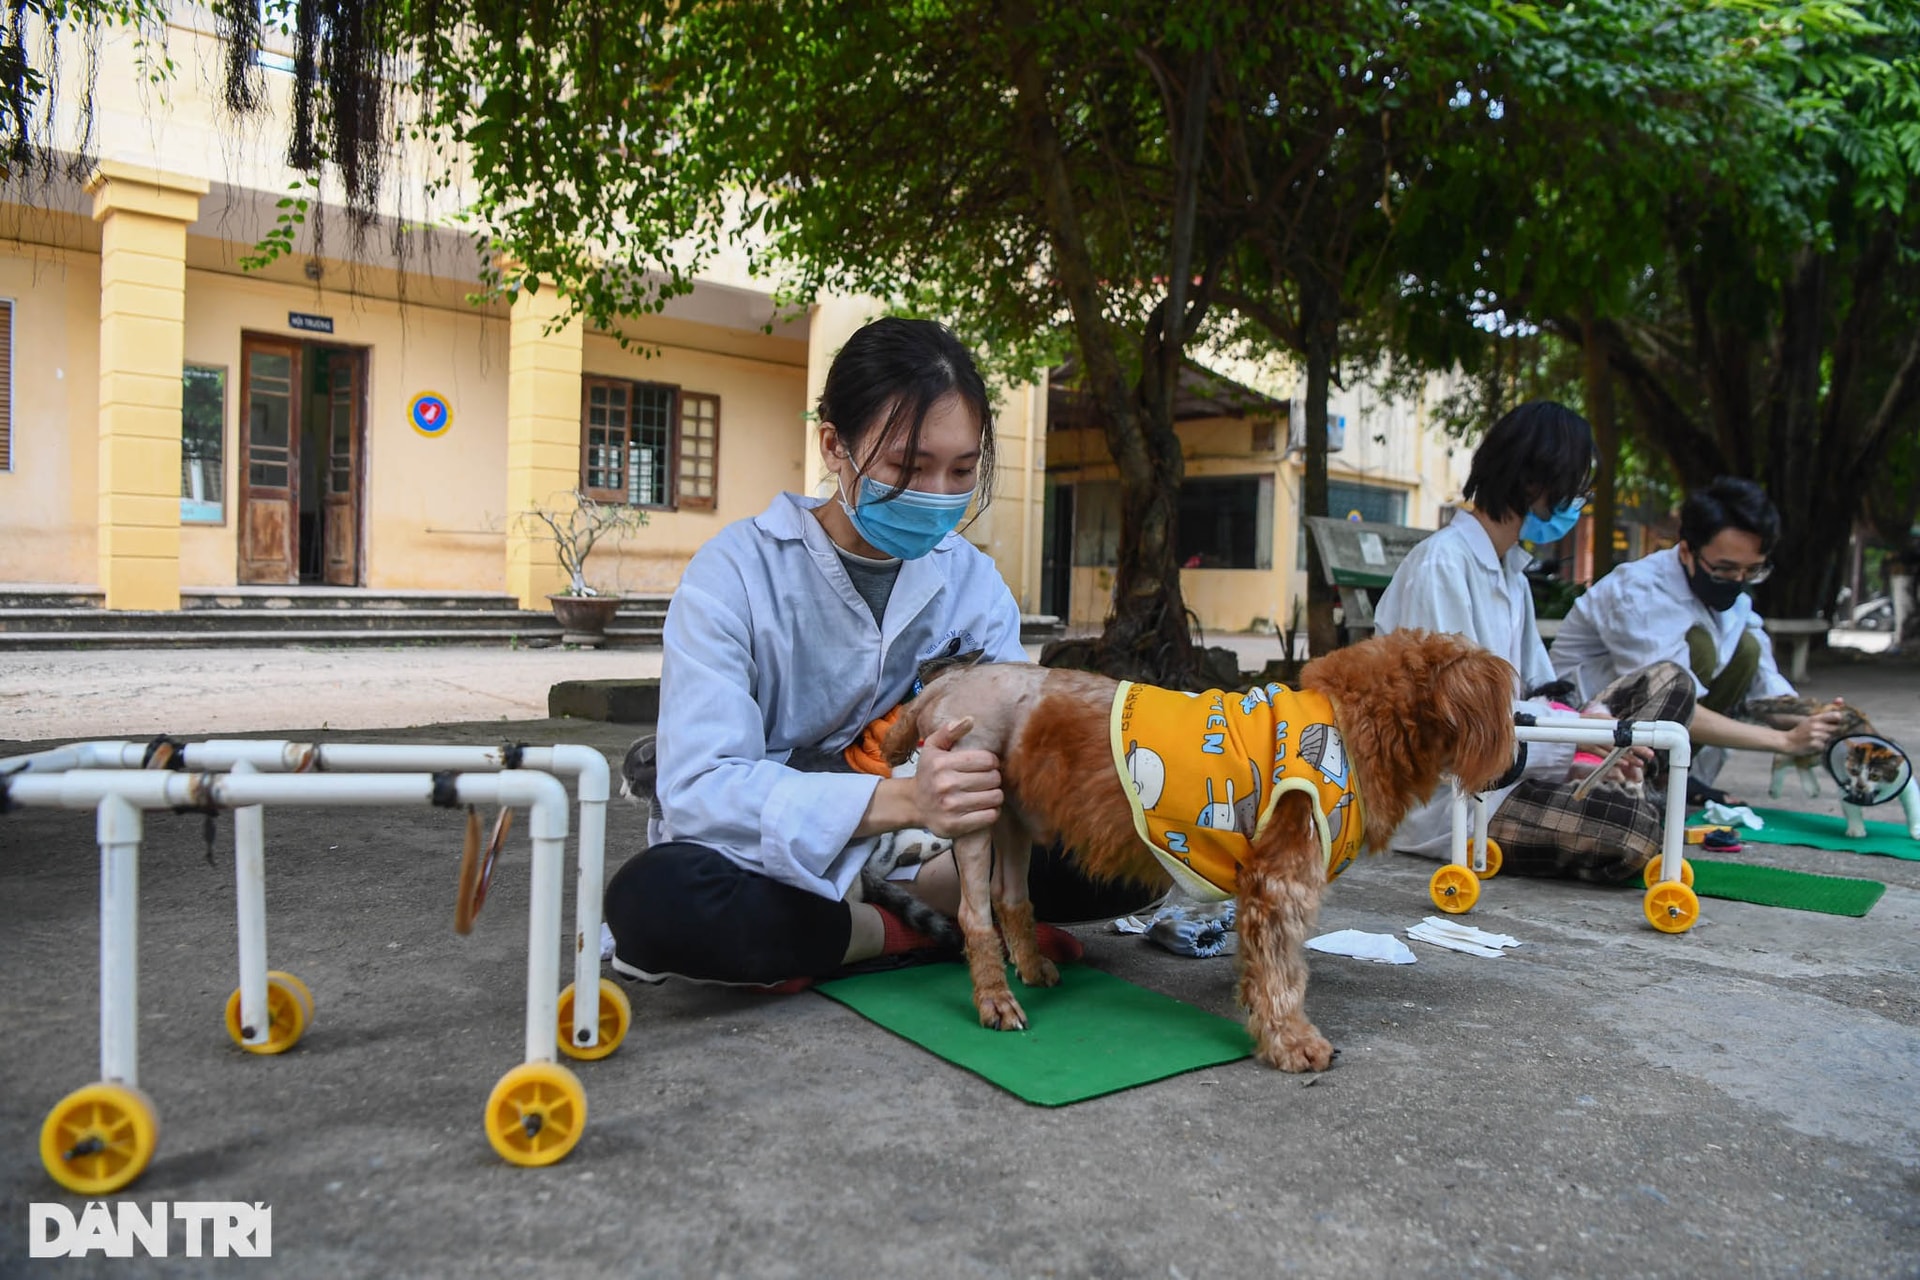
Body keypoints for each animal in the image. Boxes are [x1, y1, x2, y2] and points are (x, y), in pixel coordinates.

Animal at [879, 629, 1512, 1074]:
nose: (1511, 767)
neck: (1355, 721)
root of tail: (946, 685)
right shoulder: (1278, 885)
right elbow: (1282, 975)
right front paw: (1293, 1043)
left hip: (1013, 817)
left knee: (1010, 898)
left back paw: (1033, 970)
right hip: (974, 813)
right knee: (973, 915)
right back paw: (995, 1001)